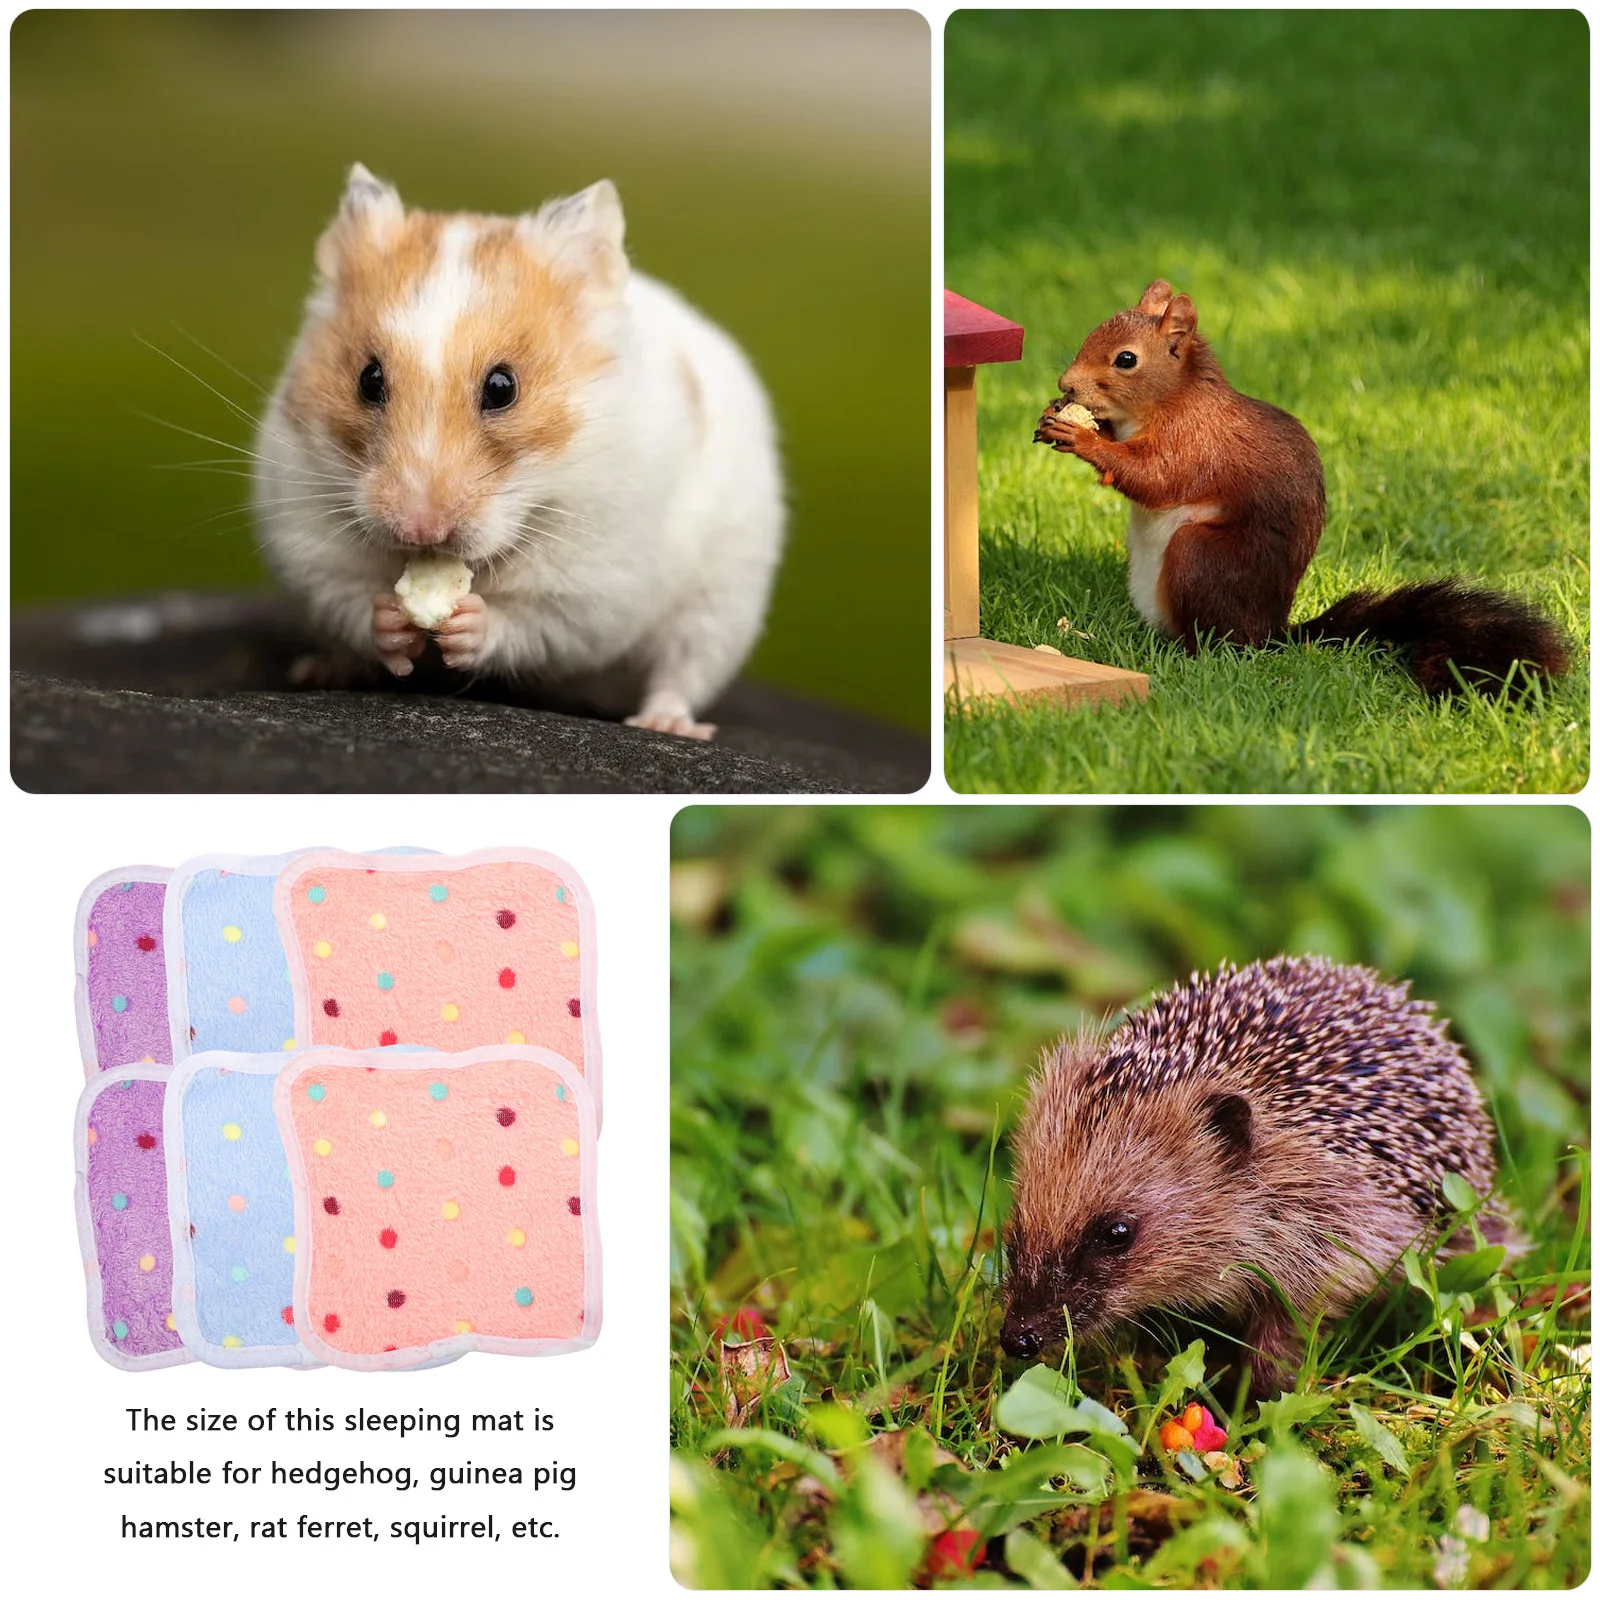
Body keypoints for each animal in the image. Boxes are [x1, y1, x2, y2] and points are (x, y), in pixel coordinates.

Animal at [253, 163, 786, 739]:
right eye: (368, 379)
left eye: (503, 387)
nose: (421, 531)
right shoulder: (311, 541)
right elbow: (350, 600)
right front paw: (393, 620)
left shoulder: (593, 583)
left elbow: (532, 623)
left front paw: (467, 622)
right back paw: (322, 670)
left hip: (720, 605)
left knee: (681, 669)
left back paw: (666, 724)